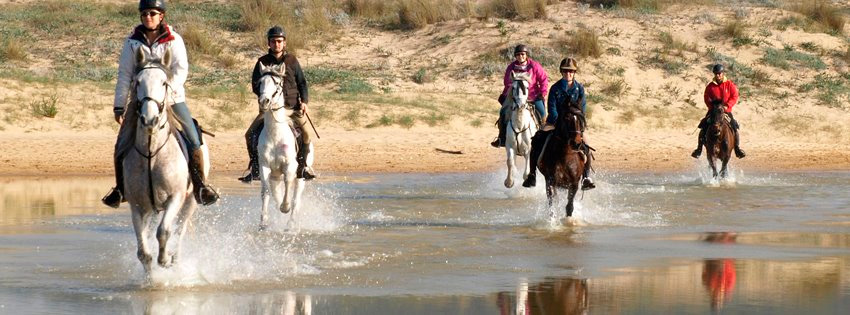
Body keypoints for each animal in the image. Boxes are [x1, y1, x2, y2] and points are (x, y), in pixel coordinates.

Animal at [122, 48, 197, 274]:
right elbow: (143, 253)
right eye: (137, 82)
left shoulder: (176, 197)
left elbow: (164, 231)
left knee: (180, 230)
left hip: (190, 202)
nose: (149, 119)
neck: (151, 153)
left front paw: (164, 259)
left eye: (164, 83)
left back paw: (175, 258)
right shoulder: (138, 205)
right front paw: (151, 276)